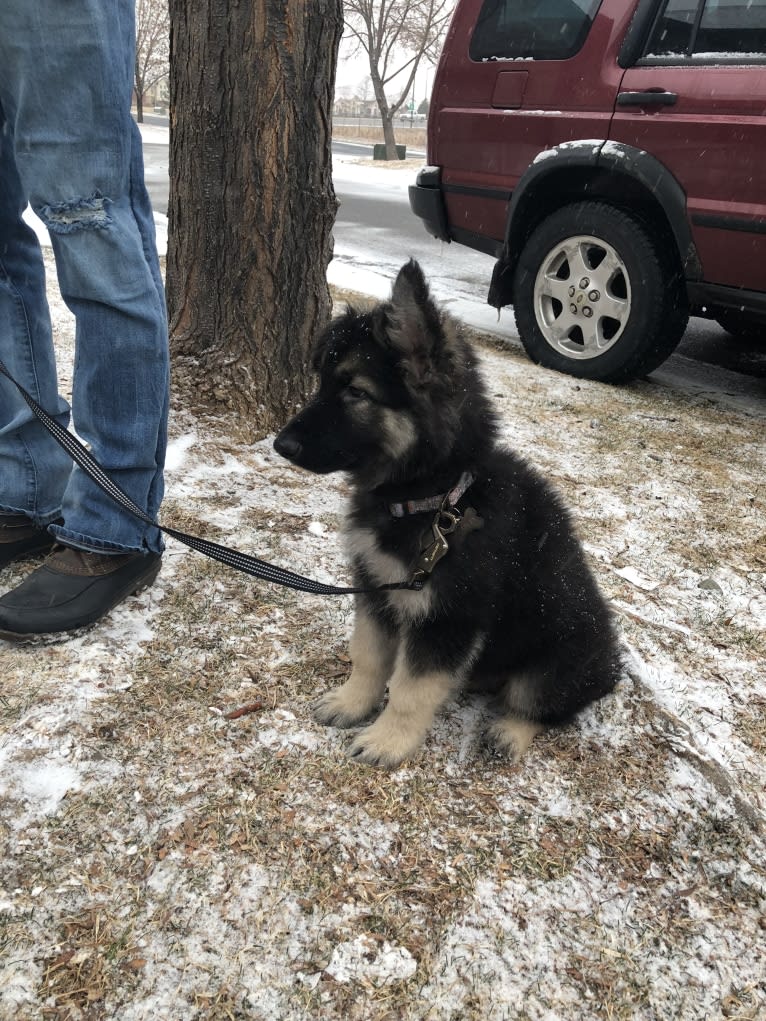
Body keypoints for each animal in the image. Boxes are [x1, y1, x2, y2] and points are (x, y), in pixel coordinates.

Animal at [275, 261, 625, 767]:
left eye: (356, 392)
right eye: (322, 384)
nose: (280, 445)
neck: (437, 498)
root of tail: (609, 665)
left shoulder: (448, 616)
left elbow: (411, 688)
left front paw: (388, 740)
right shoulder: (377, 590)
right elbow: (369, 656)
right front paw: (353, 703)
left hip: (556, 660)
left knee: (542, 705)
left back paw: (509, 732)